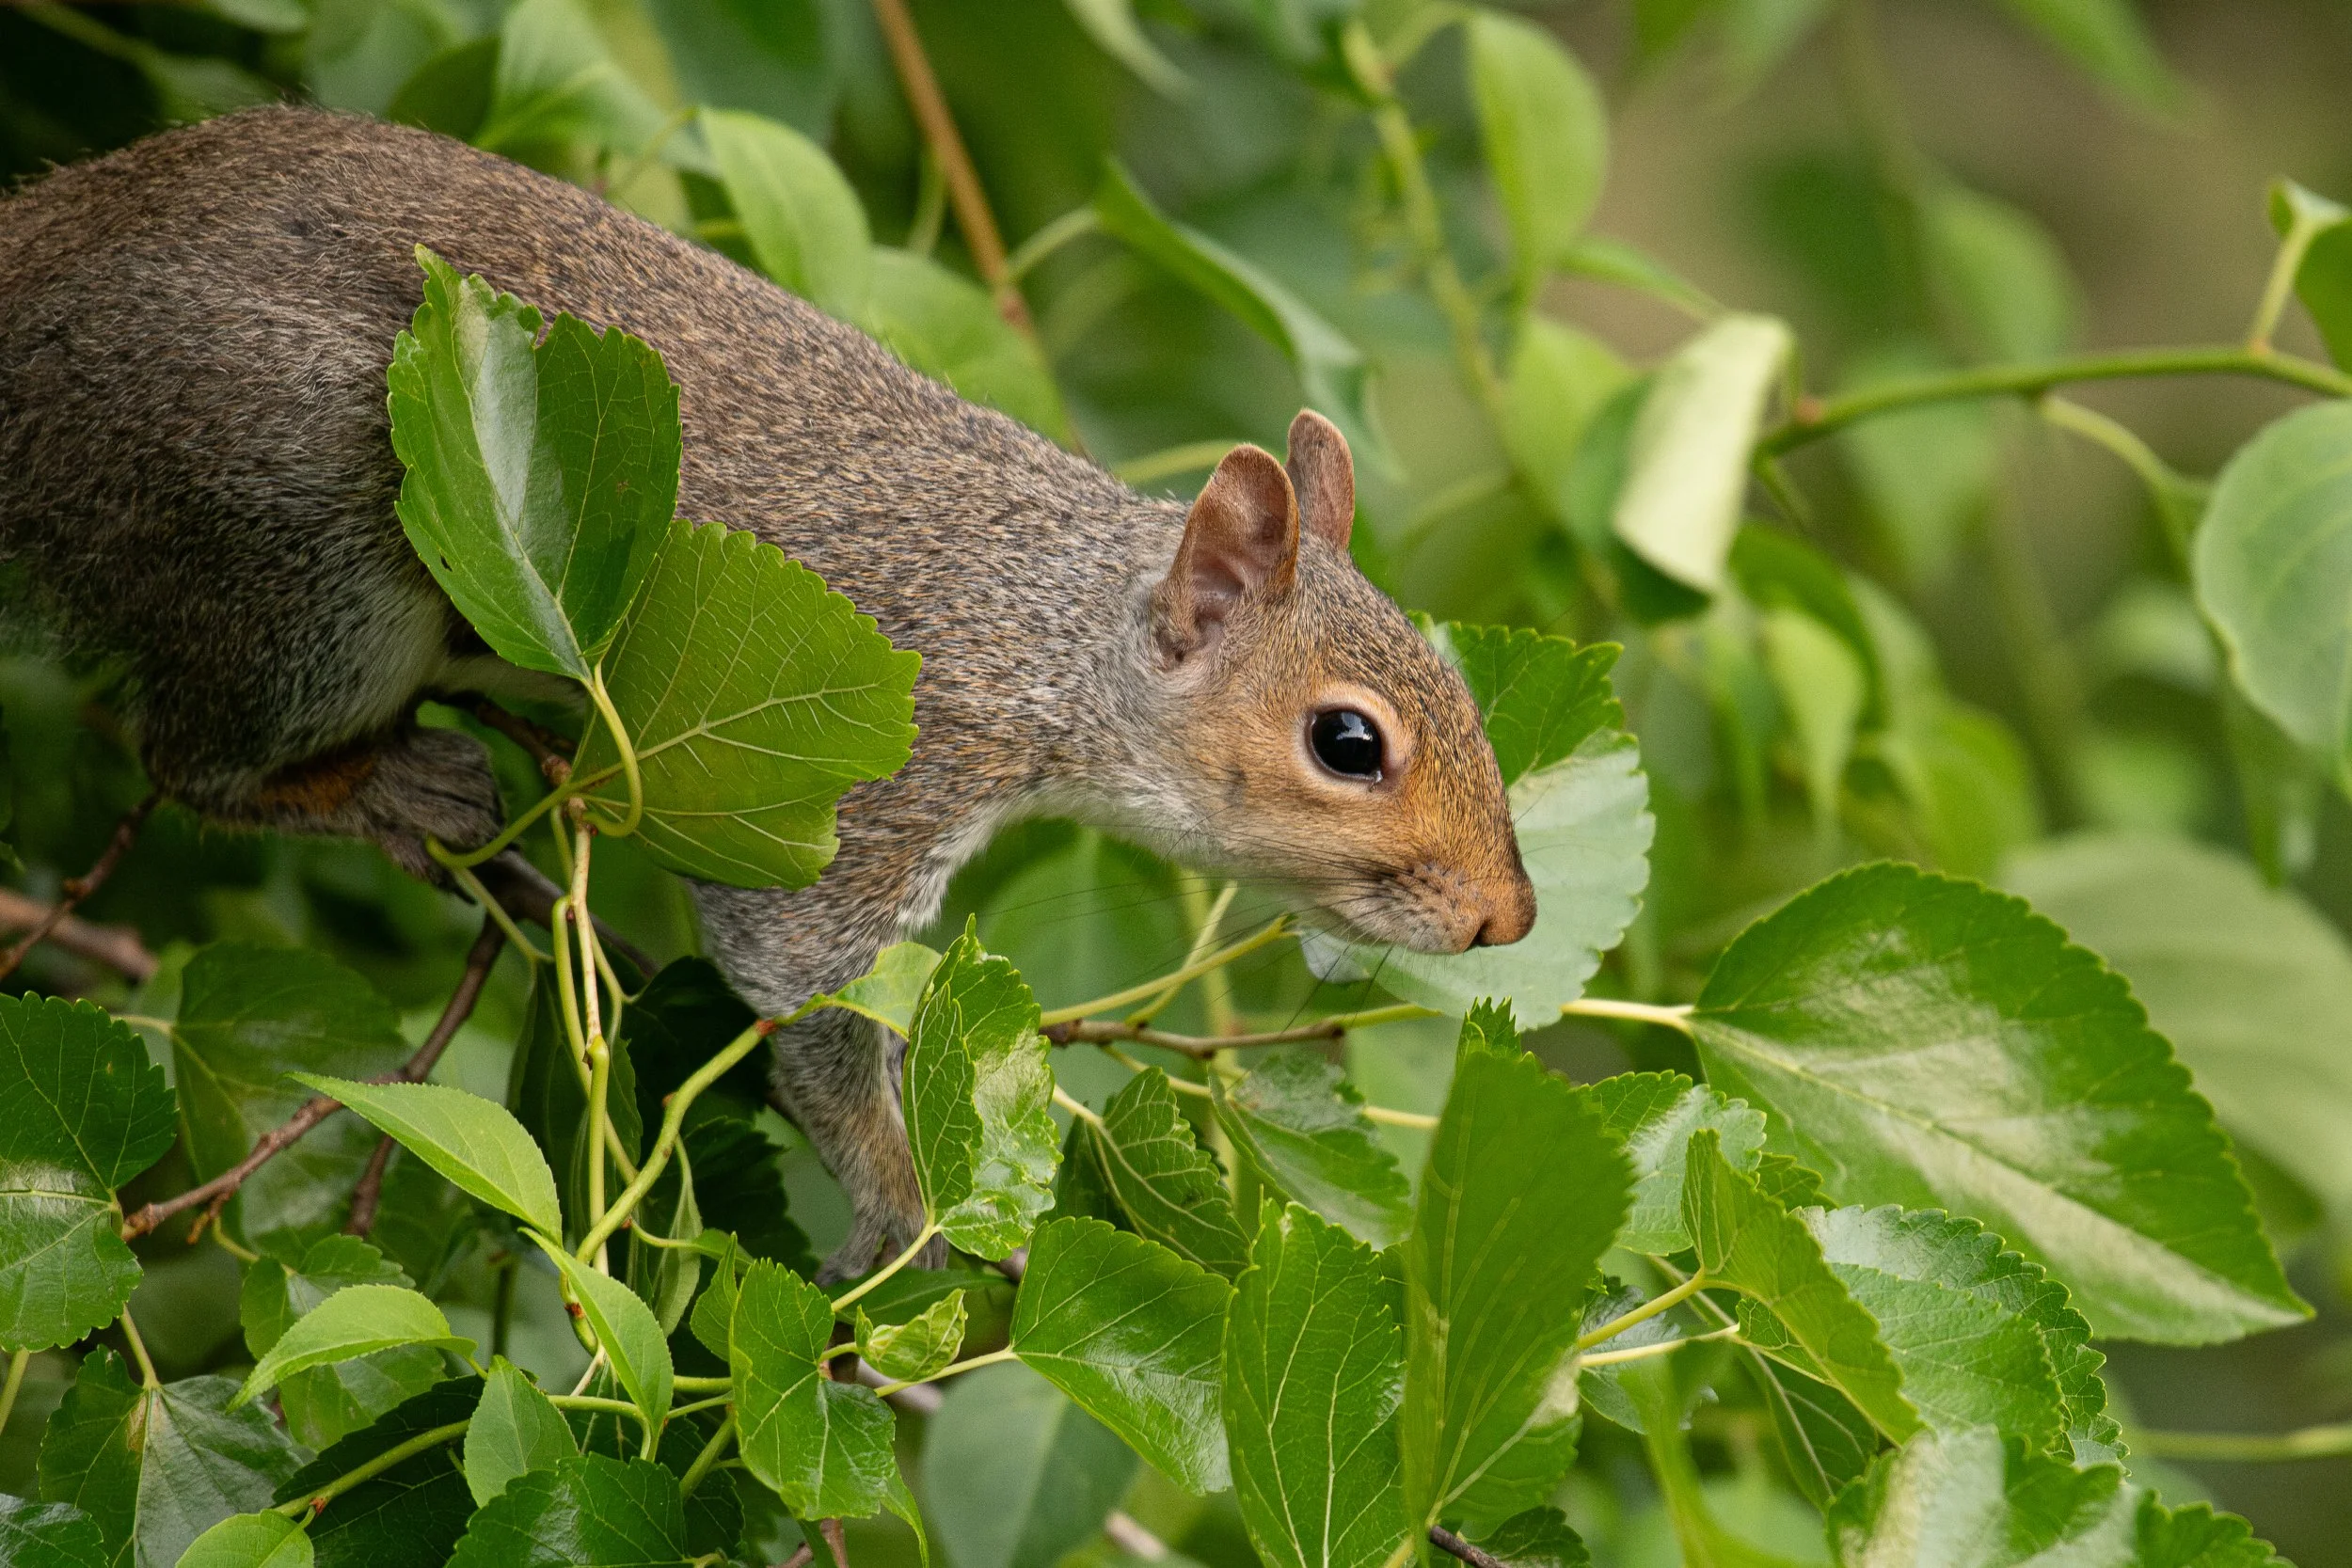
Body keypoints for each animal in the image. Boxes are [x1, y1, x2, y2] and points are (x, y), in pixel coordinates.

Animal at [0, 106, 1537, 1277]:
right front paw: (902, 1199)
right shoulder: (883, 778)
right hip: (305, 535)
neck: (1034, 620)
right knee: (191, 757)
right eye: (1348, 741)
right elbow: (800, 982)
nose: (1506, 917)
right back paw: (388, 783)